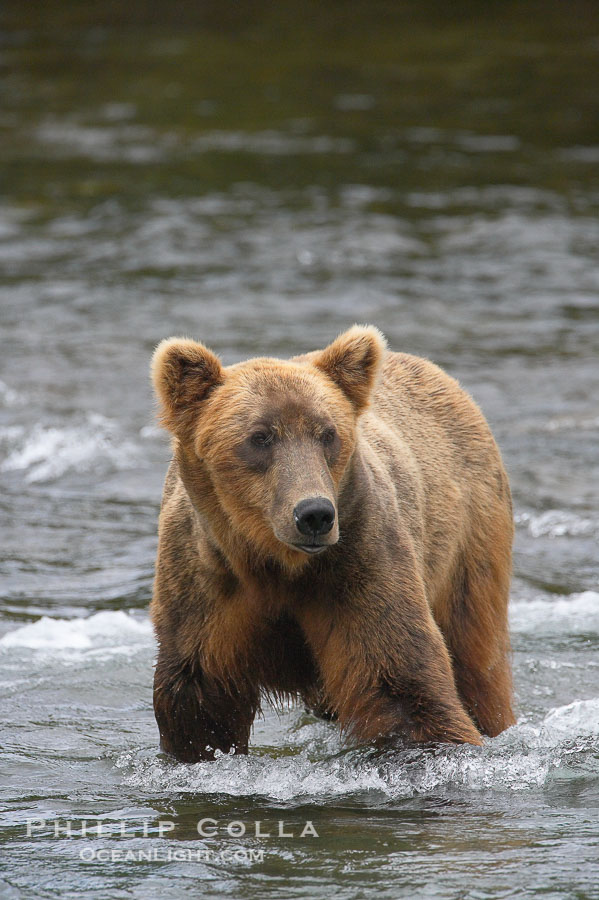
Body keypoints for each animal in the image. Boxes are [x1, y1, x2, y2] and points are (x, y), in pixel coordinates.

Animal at [150, 325, 515, 763]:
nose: (314, 514)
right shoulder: (203, 584)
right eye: (259, 437)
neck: (274, 563)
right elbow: (197, 703)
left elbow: (402, 684)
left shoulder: (359, 561)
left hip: (469, 542)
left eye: (328, 434)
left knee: (478, 660)